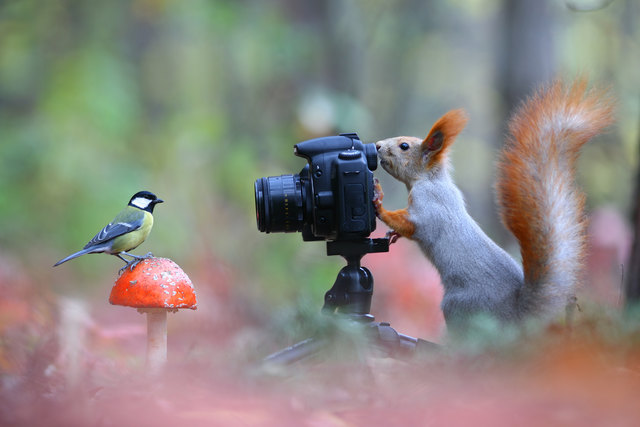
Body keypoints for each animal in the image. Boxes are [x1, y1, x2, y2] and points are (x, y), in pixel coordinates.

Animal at [373, 79, 614, 333]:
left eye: (404, 146)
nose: (377, 145)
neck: (429, 179)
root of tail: (516, 316)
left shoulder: (430, 205)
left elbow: (413, 224)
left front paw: (379, 203)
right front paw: (393, 234)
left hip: (459, 305)